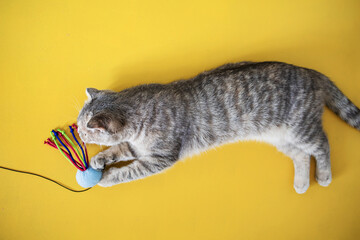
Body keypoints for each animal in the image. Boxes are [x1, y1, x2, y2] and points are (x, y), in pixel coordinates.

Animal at [77, 61, 358, 193]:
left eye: (83, 129)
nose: (78, 133)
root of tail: (309, 71)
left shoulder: (159, 158)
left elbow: (129, 171)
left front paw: (107, 177)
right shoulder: (137, 147)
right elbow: (119, 150)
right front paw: (101, 159)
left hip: (301, 129)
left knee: (322, 145)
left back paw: (323, 176)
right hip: (282, 139)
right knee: (301, 156)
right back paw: (301, 182)